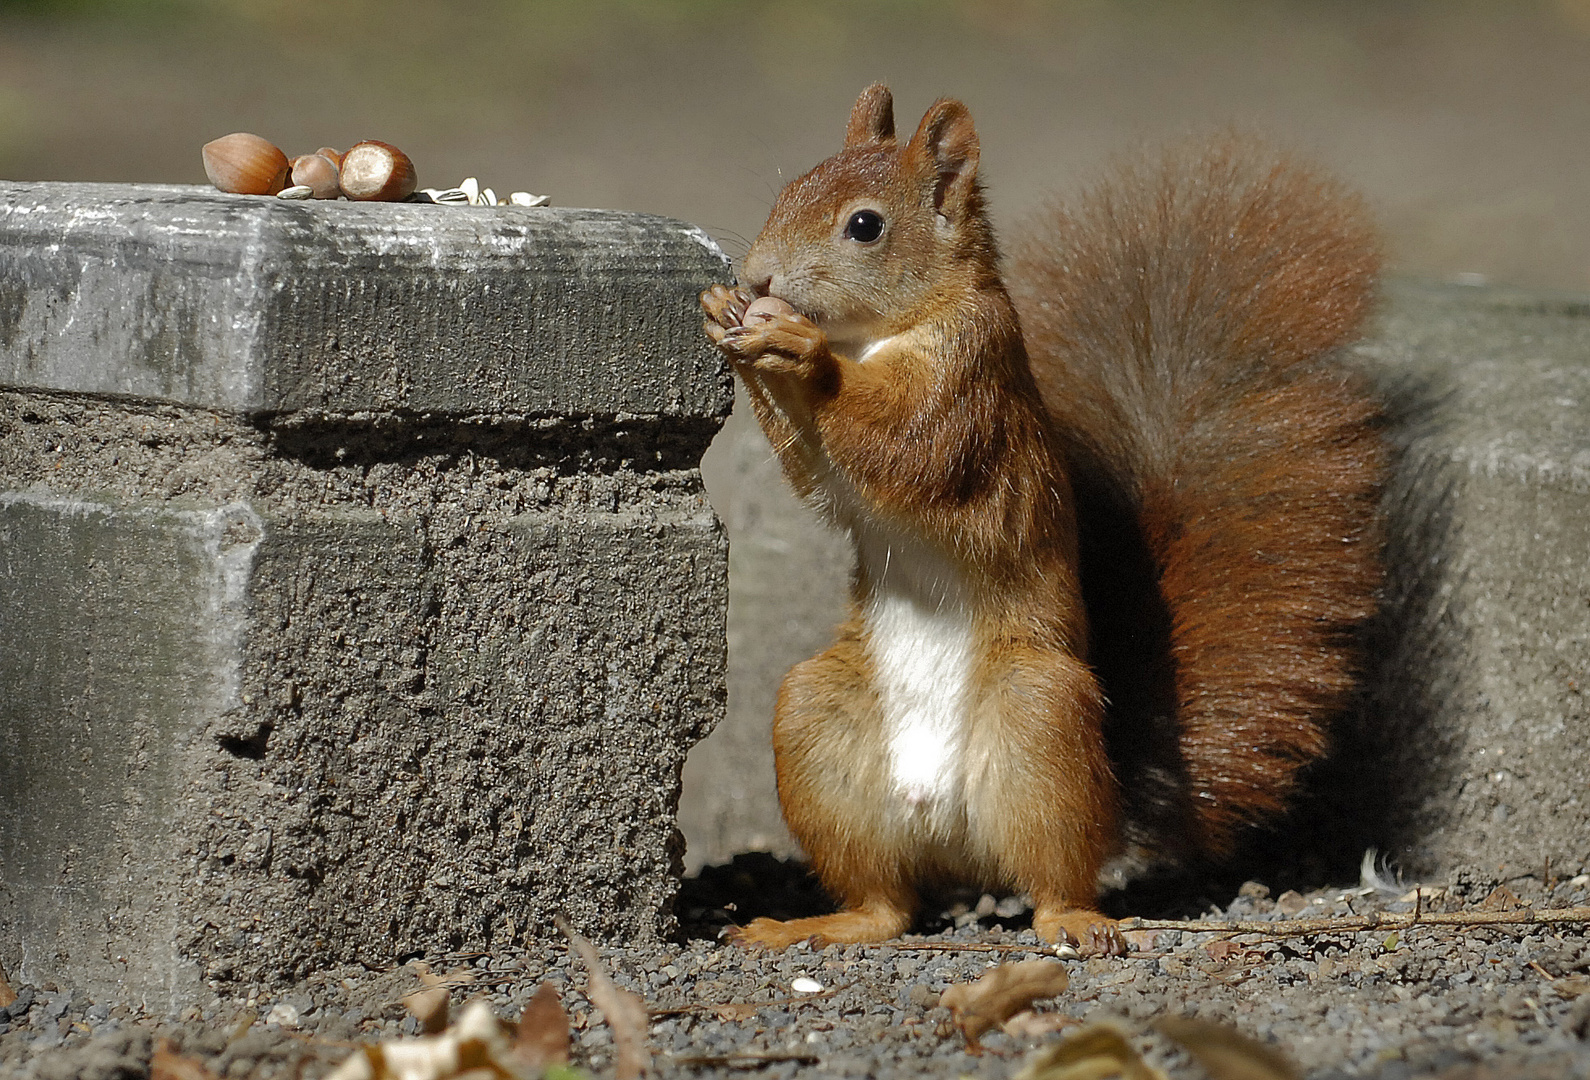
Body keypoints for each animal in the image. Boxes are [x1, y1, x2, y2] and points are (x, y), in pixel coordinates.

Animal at [702, 88, 1386, 960]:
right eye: (789, 189)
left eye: (864, 225)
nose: (757, 275)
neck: (880, 333)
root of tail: (952, 835)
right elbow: (820, 479)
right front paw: (727, 314)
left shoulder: (973, 376)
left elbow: (908, 445)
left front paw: (798, 348)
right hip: (817, 719)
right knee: (886, 905)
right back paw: (818, 923)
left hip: (1039, 718)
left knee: (1055, 873)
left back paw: (1075, 921)